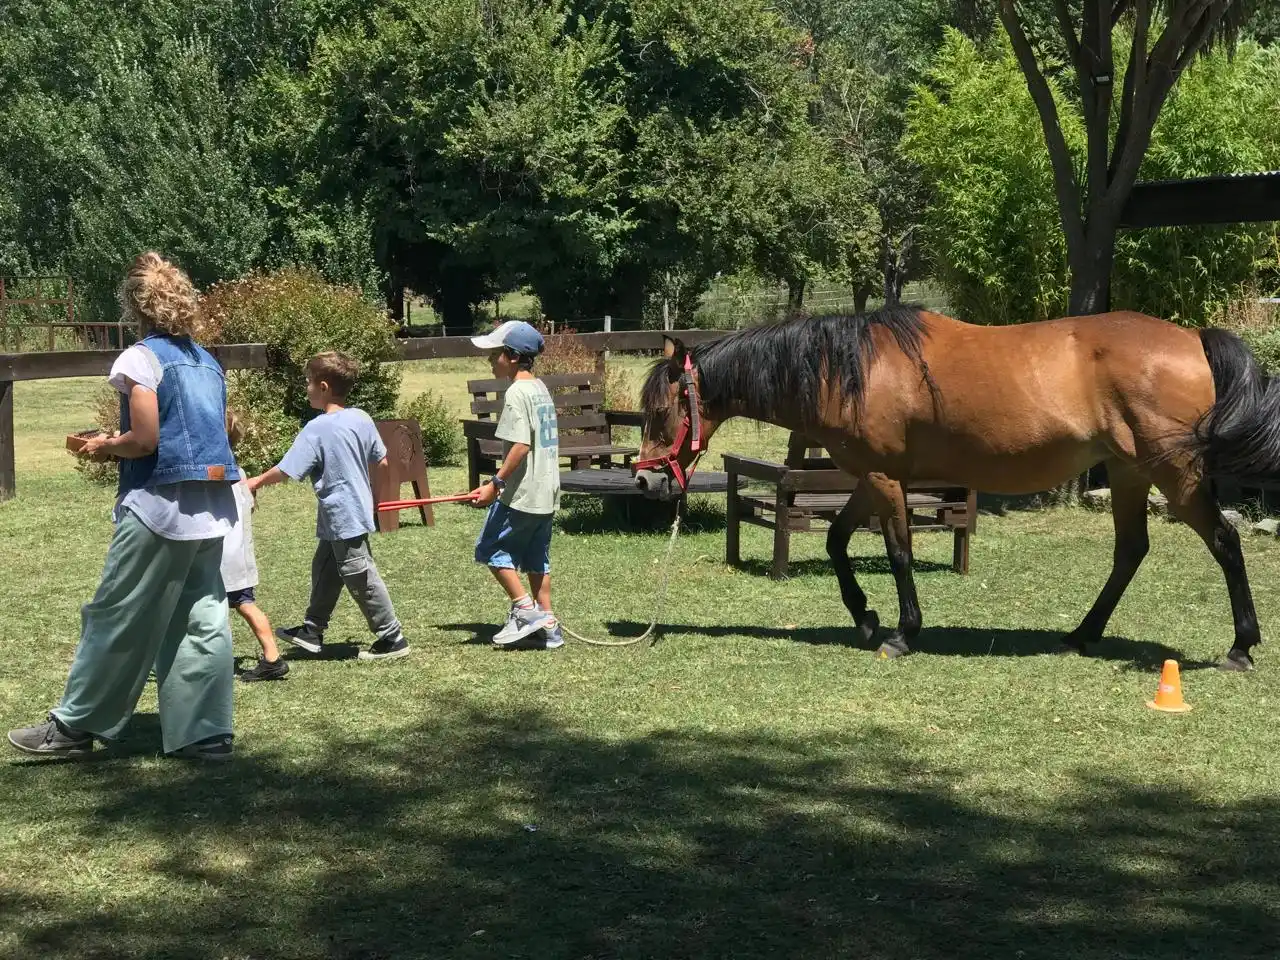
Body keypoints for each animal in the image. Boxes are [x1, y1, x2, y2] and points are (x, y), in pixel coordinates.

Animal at [632, 305, 1280, 672]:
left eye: (662, 413)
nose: (645, 477)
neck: (849, 370)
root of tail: (1194, 338)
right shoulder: (873, 478)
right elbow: (837, 541)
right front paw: (864, 617)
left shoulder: (884, 480)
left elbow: (897, 553)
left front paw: (901, 633)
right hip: (1128, 473)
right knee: (1130, 552)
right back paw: (1080, 636)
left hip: (1176, 476)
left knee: (1225, 543)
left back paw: (1240, 647)